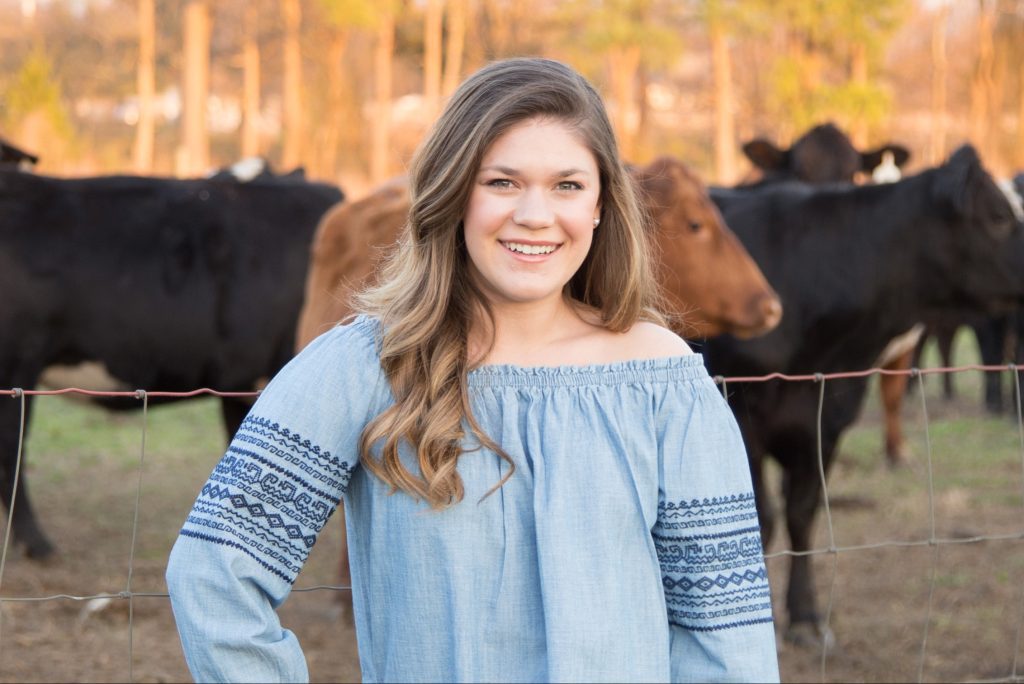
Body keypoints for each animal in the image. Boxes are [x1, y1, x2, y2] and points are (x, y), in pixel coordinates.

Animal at [704, 144, 1024, 647]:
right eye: (997, 217)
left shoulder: (829, 413)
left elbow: (802, 512)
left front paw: (806, 616)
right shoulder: (740, 413)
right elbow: (760, 517)